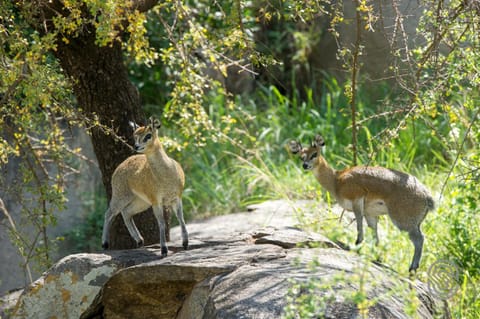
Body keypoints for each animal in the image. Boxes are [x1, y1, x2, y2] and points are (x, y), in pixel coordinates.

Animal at [102, 117, 188, 258]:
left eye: (148, 135)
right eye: (135, 136)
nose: (136, 146)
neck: (166, 174)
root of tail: (121, 166)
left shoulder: (177, 197)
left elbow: (181, 219)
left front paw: (185, 244)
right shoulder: (156, 201)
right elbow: (161, 223)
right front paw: (164, 250)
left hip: (141, 201)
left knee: (126, 212)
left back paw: (139, 241)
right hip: (121, 197)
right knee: (109, 213)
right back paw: (105, 244)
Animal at [288, 135, 436, 272]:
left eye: (315, 154)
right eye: (301, 157)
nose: (305, 165)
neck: (337, 180)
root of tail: (427, 196)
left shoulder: (357, 202)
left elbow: (360, 229)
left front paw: (356, 248)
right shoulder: (371, 214)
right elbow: (375, 237)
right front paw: (378, 259)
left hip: (402, 221)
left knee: (419, 239)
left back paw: (412, 269)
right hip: (415, 223)